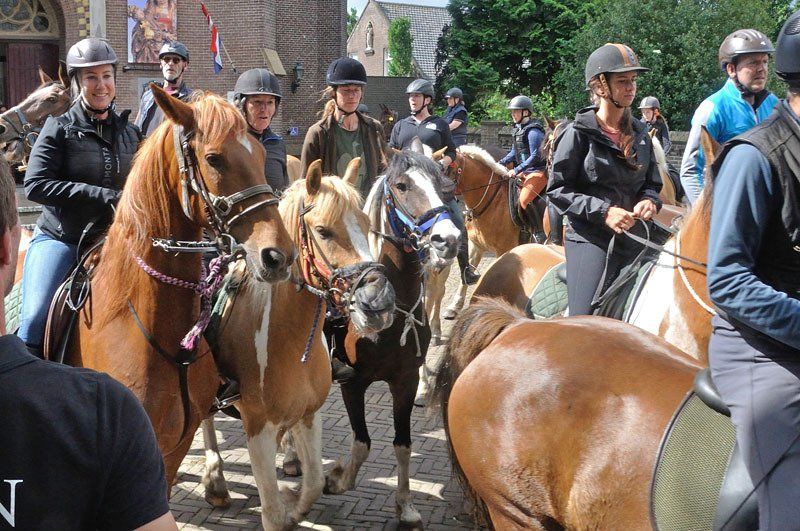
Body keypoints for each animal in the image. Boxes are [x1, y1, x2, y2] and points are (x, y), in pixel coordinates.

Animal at [197, 157, 397, 529]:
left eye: (367, 224)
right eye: (323, 231)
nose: (379, 302)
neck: (285, 342)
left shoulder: (308, 415)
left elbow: (315, 482)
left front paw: (295, 505)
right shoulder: (257, 429)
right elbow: (272, 514)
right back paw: (215, 480)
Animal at [310, 142, 460, 527]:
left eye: (444, 185)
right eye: (402, 186)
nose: (448, 240)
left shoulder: (404, 380)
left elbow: (402, 445)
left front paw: (405, 505)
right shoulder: (352, 383)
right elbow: (362, 443)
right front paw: (336, 480)